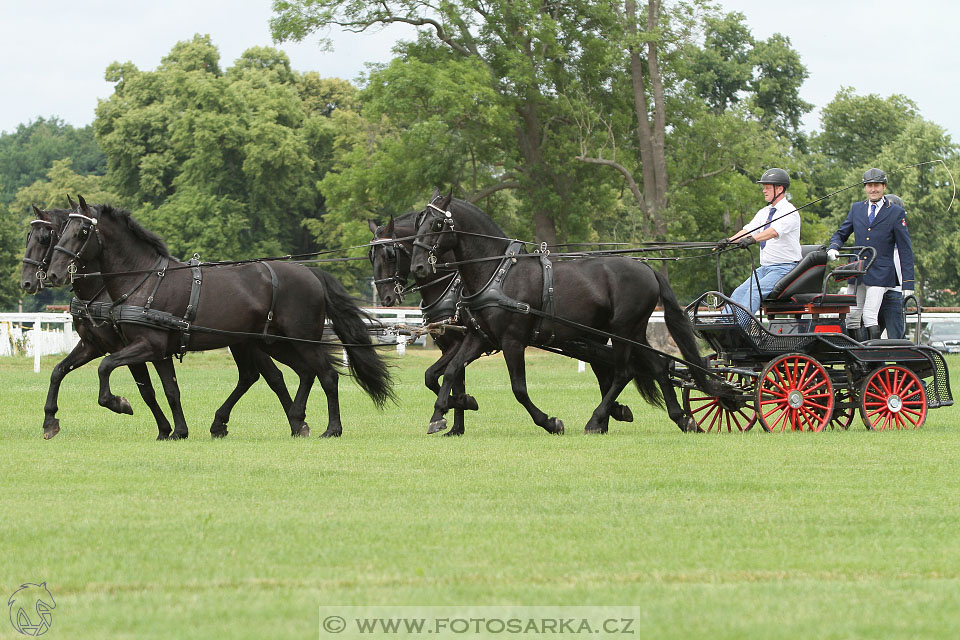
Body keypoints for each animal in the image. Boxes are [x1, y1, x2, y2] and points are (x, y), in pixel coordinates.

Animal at [21, 205, 292, 440]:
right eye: (29, 236)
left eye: (45, 238)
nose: (28, 281)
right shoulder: (94, 345)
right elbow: (58, 371)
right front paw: (50, 421)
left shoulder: (131, 348)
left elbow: (141, 387)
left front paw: (130, 409)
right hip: (241, 342)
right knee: (256, 376)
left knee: (270, 376)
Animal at [47, 198, 392, 438]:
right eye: (59, 233)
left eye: (82, 231)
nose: (52, 273)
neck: (144, 279)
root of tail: (311, 273)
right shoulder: (155, 351)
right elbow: (169, 389)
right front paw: (177, 431)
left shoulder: (146, 345)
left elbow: (106, 368)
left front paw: (119, 403)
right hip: (270, 342)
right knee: (297, 373)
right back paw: (292, 420)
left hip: (298, 339)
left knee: (326, 375)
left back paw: (330, 428)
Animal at [408, 195, 716, 436]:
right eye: (418, 223)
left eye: (436, 224)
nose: (418, 267)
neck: (497, 273)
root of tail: (647, 268)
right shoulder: (479, 337)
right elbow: (450, 370)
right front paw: (441, 415)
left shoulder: (512, 341)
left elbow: (519, 388)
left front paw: (549, 422)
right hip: (636, 332)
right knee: (658, 367)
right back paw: (681, 418)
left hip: (621, 331)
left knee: (623, 372)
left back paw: (596, 419)